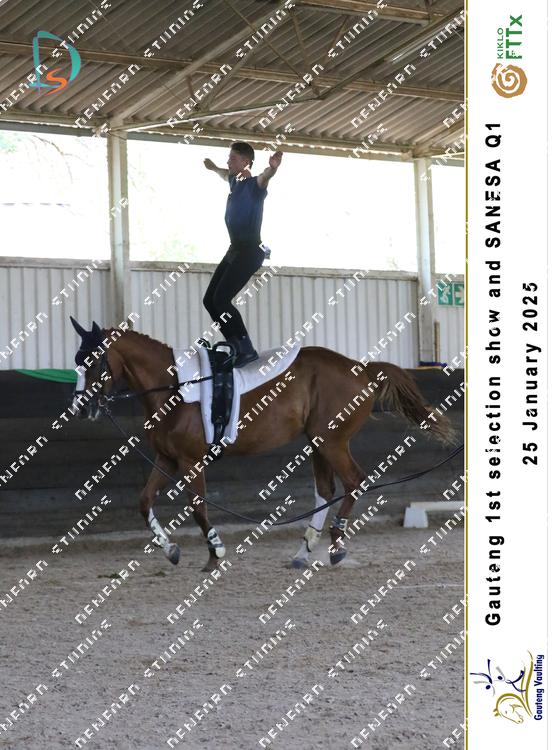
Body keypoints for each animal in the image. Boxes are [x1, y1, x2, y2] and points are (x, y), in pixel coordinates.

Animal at [69, 317, 455, 571]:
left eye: (94, 361)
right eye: (76, 361)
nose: (82, 408)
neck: (175, 387)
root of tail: (361, 369)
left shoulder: (191, 461)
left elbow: (198, 508)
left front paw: (216, 554)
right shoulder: (166, 458)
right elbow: (144, 500)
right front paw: (171, 551)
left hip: (332, 441)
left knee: (354, 482)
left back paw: (336, 546)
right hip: (318, 442)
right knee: (326, 489)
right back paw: (304, 551)